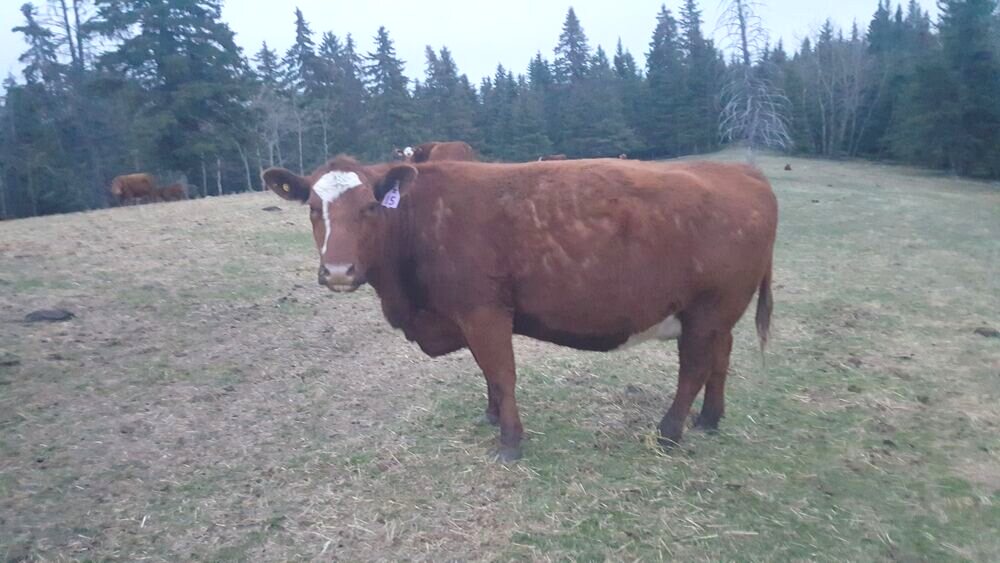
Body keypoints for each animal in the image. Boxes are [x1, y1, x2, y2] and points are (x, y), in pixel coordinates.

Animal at [261, 156, 777, 462]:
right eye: (313, 207)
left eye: (370, 206)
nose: (338, 270)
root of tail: (739, 169)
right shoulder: (467, 315)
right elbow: (487, 373)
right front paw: (492, 416)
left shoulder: (483, 310)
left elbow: (502, 372)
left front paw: (510, 441)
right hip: (718, 315)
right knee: (720, 358)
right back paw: (709, 419)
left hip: (708, 310)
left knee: (694, 367)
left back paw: (670, 433)